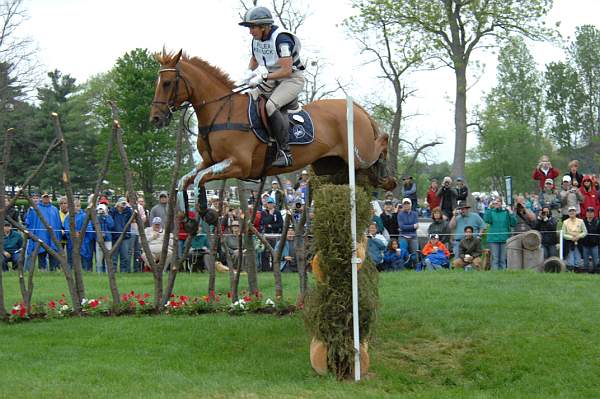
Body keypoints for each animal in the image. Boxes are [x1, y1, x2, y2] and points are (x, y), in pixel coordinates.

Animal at [148, 50, 396, 216]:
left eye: (167, 83)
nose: (156, 118)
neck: (223, 111)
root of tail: (357, 108)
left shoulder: (239, 164)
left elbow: (199, 179)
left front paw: (204, 212)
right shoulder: (209, 162)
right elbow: (186, 180)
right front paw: (187, 216)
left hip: (359, 154)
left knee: (382, 142)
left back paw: (387, 172)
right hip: (329, 165)